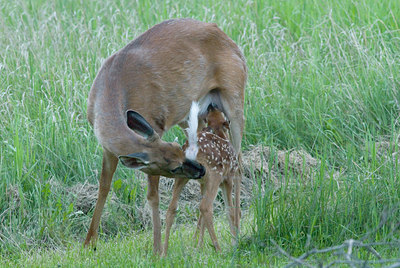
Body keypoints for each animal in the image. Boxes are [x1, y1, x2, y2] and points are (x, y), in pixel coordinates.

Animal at [84, 18, 247, 253]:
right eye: (175, 160)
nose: (199, 169)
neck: (110, 91)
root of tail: (222, 32)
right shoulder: (108, 147)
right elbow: (103, 187)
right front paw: (89, 243)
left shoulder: (155, 123)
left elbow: (152, 195)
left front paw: (157, 248)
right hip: (193, 114)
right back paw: (198, 240)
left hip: (235, 97)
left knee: (239, 164)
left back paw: (236, 232)